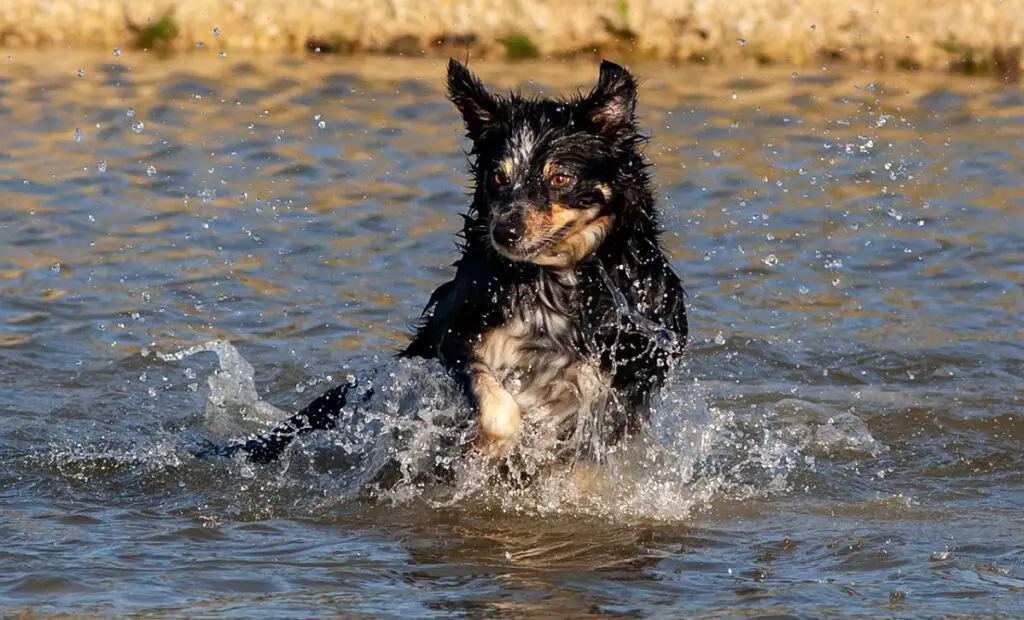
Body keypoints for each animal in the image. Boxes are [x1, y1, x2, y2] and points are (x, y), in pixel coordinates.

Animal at [207, 59, 688, 473]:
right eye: (498, 176)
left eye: (560, 178)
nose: (504, 232)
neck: (559, 281)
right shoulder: (459, 333)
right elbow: (500, 412)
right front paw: (480, 451)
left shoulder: (633, 375)